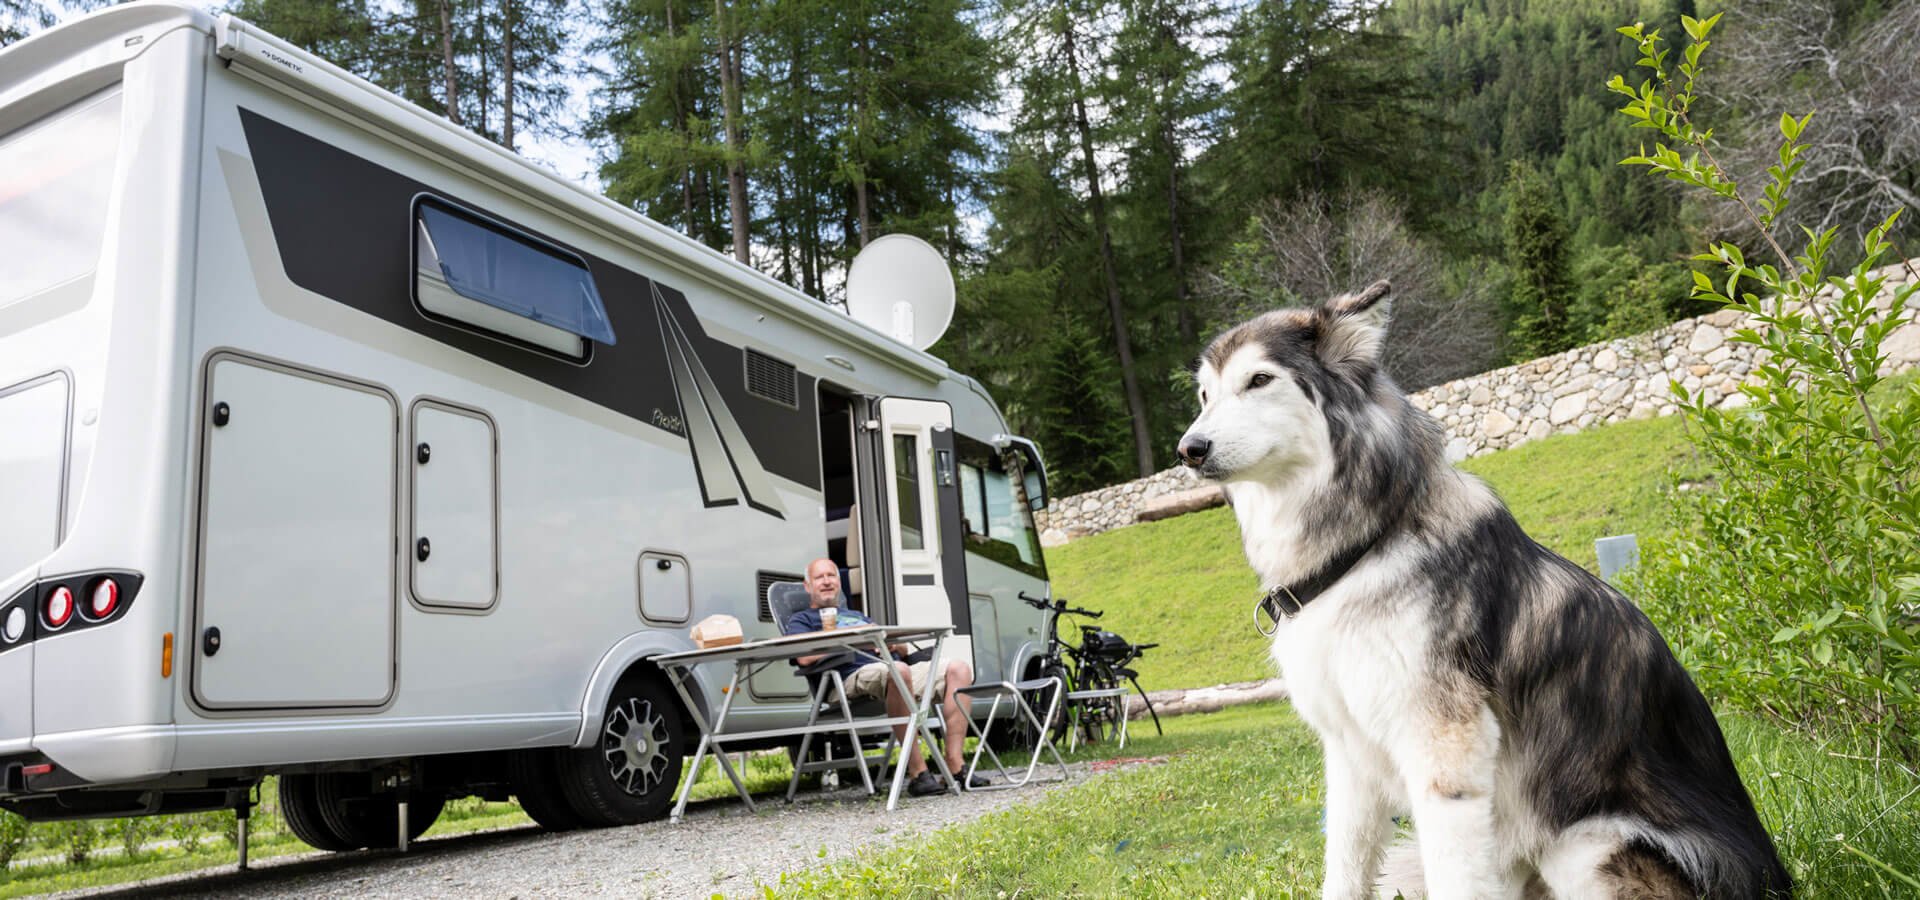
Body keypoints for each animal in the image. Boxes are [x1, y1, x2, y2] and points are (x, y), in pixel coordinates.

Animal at [1175, 282, 1789, 898]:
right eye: (1204, 394)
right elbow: (1344, 871)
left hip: (1585, 845)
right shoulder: (1350, 754)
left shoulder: (1443, 751)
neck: (1368, 544)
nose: (1189, 450)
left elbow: (1456, 874)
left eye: (1259, 380)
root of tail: (1775, 880)